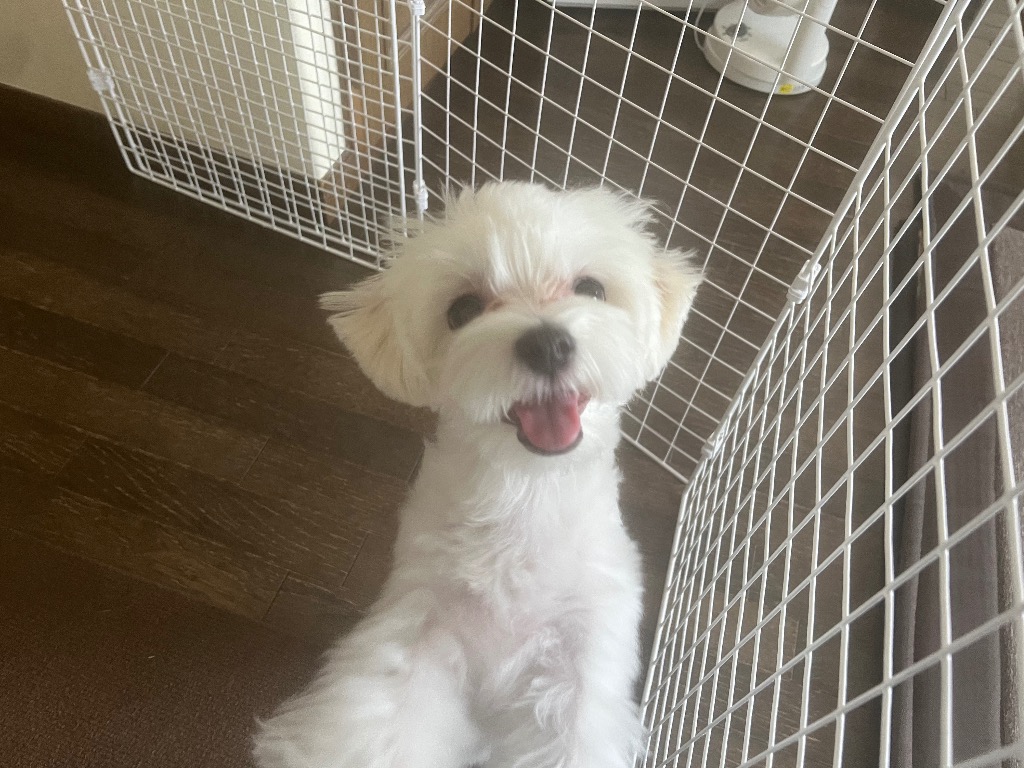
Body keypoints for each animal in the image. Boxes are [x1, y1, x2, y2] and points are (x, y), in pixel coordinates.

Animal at [253, 182, 701, 768]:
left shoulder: (580, 659)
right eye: (462, 310)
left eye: (591, 289)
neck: (525, 491)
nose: (547, 343)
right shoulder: (420, 630)